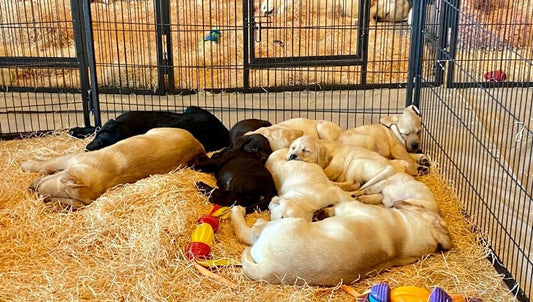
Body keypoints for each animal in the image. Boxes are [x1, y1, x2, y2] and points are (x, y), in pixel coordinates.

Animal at [19, 127, 206, 208]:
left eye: (47, 196)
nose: (30, 188)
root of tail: (198, 145)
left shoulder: (71, 159)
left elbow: (46, 165)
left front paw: (26, 164)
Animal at [231, 198, 450, 286]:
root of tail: (267, 270)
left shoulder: (349, 207)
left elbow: (337, 207)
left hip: (284, 224)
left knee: (249, 231)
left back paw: (239, 211)